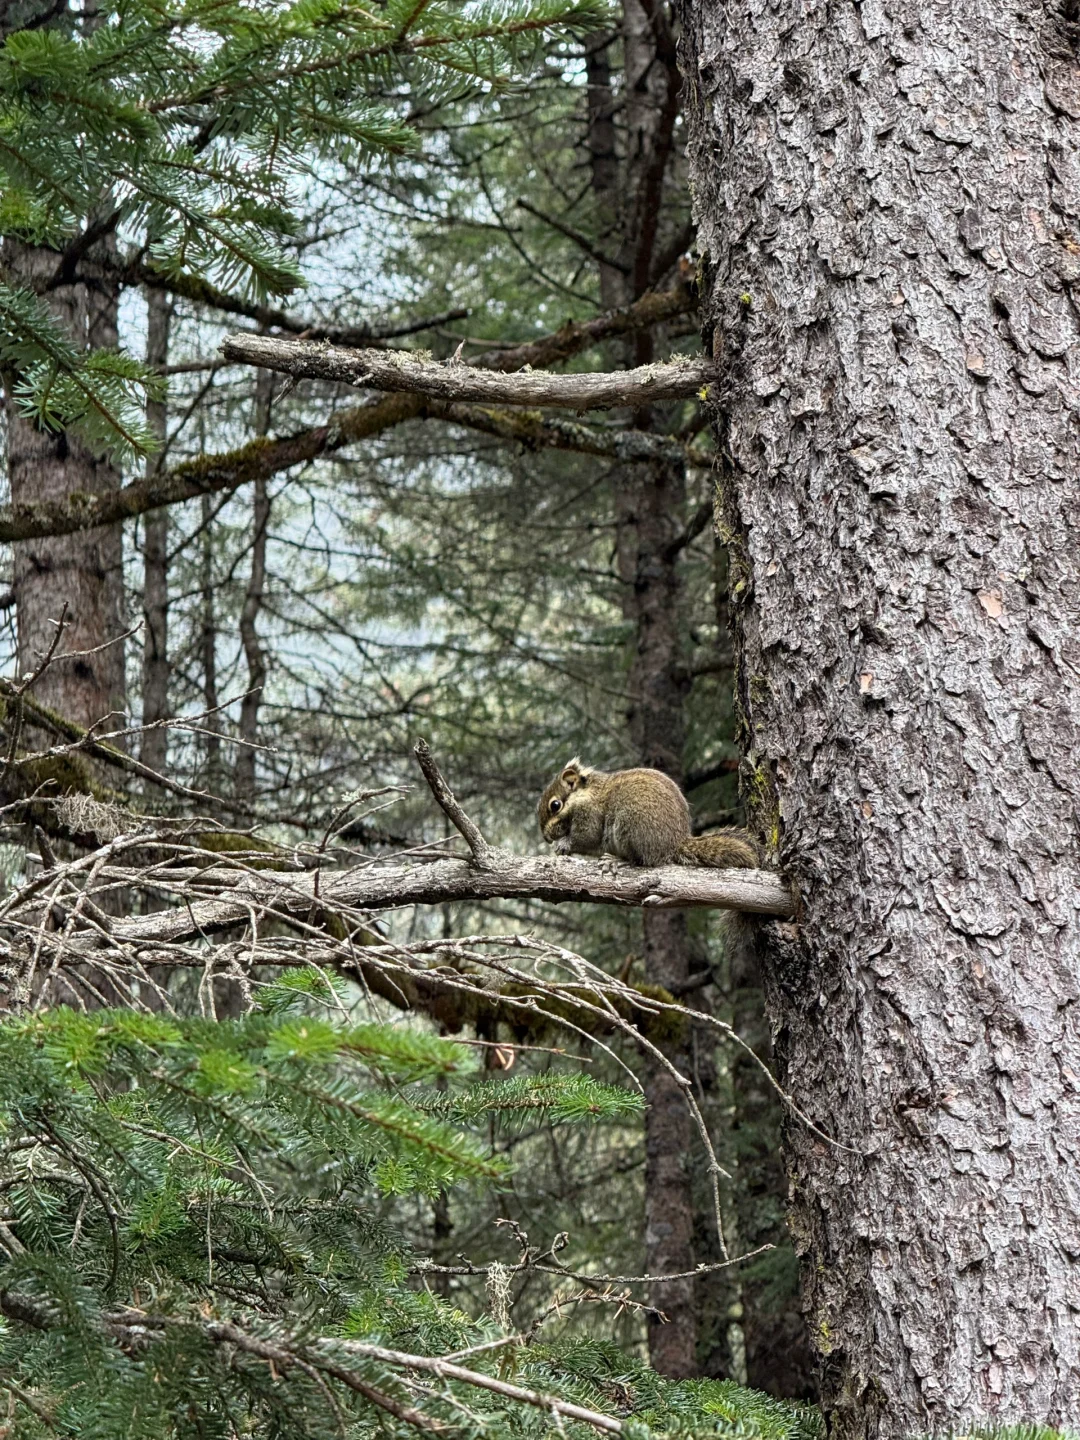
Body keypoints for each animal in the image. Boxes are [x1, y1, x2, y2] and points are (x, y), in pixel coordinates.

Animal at [535, 760, 754, 869]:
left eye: (555, 805)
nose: (545, 838)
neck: (587, 794)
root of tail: (674, 843)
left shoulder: (590, 814)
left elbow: (586, 838)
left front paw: (563, 844)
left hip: (631, 827)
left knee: (640, 860)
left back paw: (618, 861)